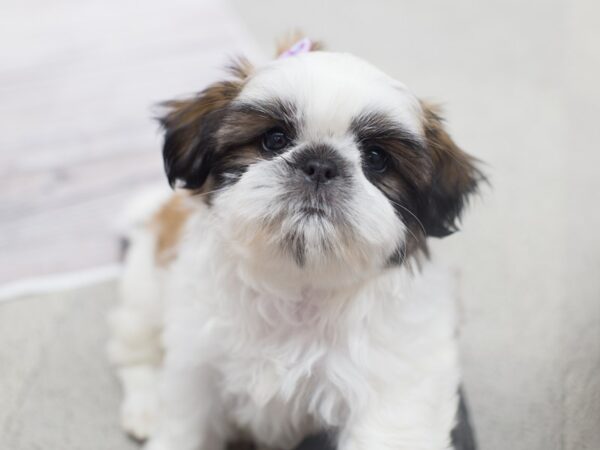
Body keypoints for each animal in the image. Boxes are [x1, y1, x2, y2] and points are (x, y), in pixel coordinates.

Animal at [106, 36, 482, 450]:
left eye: (376, 158)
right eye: (274, 140)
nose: (320, 164)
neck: (300, 284)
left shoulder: (397, 386)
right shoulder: (197, 365)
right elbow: (184, 422)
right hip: (145, 290)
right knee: (135, 351)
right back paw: (145, 405)